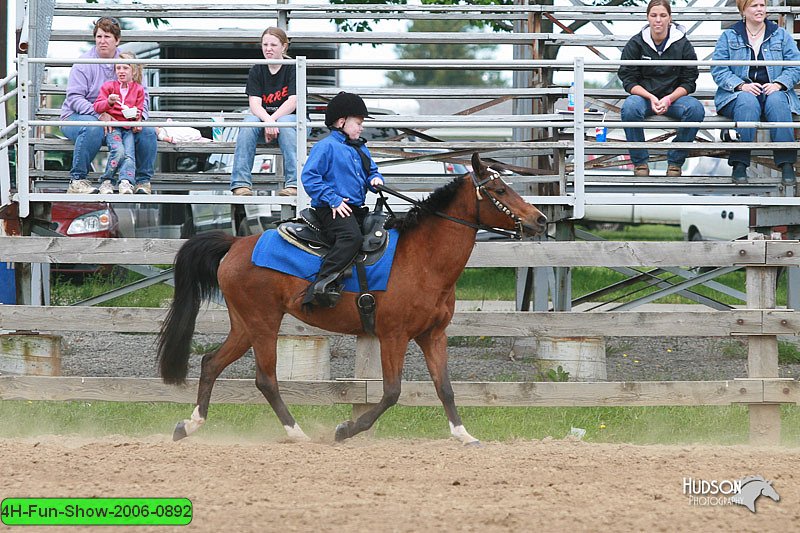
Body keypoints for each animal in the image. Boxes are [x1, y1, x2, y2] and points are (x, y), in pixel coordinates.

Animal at [159, 152, 548, 442]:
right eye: (499, 189)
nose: (541, 219)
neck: (423, 259)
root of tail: (236, 244)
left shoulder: (433, 335)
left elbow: (445, 388)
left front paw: (463, 434)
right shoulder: (393, 336)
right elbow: (391, 392)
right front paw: (346, 429)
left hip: (244, 325)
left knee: (211, 363)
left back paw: (188, 426)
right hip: (263, 323)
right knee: (265, 380)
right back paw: (297, 433)